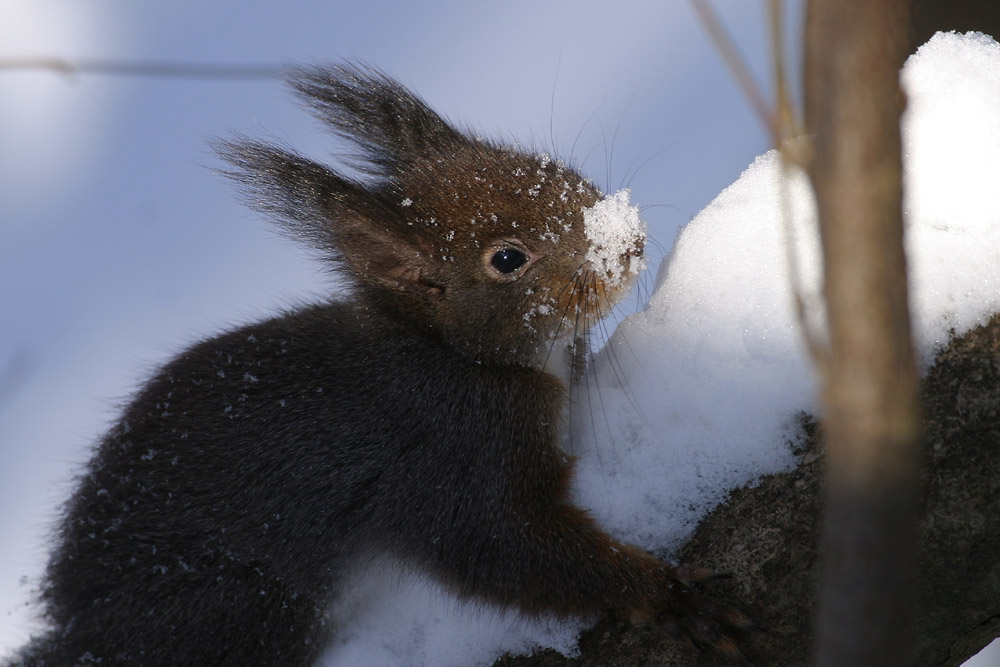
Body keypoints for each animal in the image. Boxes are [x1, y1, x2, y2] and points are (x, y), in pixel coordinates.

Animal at [7, 64, 752, 667]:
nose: (627, 238)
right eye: (507, 259)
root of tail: (80, 627)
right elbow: (503, 549)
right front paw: (670, 595)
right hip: (242, 609)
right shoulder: (448, 455)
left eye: (545, 165)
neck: (451, 352)